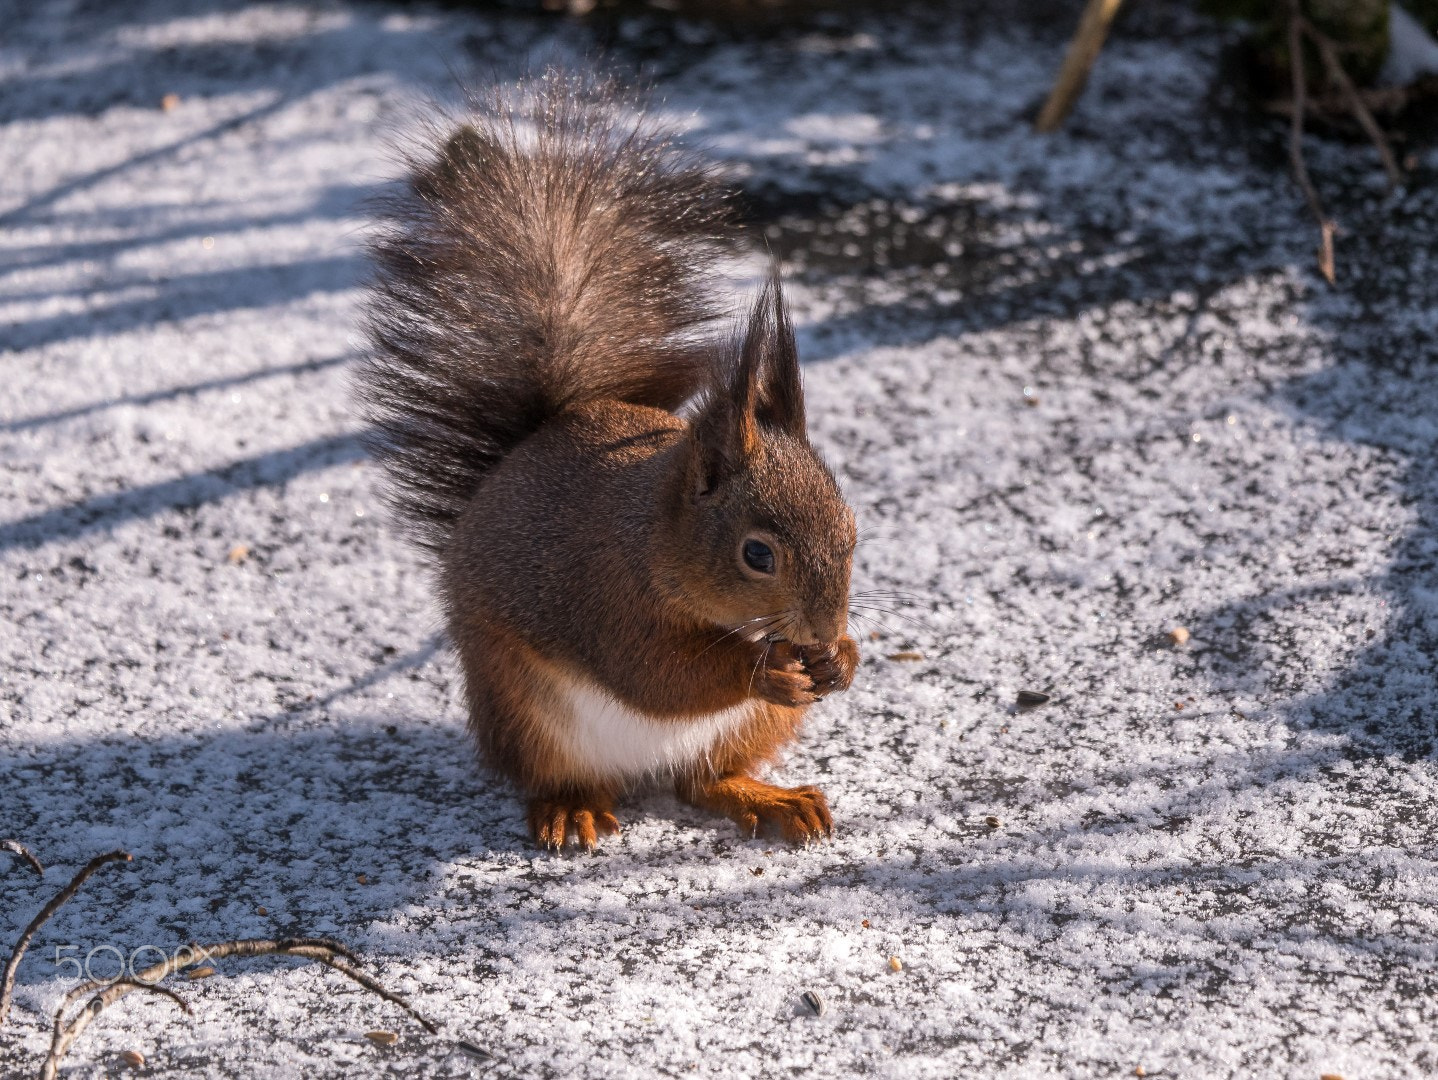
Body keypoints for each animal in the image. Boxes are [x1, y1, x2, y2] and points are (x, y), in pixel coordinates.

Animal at [357, 71, 859, 850]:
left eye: (852, 528)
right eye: (757, 555)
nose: (823, 631)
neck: (652, 534)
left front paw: (846, 658)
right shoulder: (605, 594)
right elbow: (656, 675)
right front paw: (767, 670)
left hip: (741, 735)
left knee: (703, 780)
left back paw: (770, 798)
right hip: (527, 711)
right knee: (562, 773)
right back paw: (571, 808)